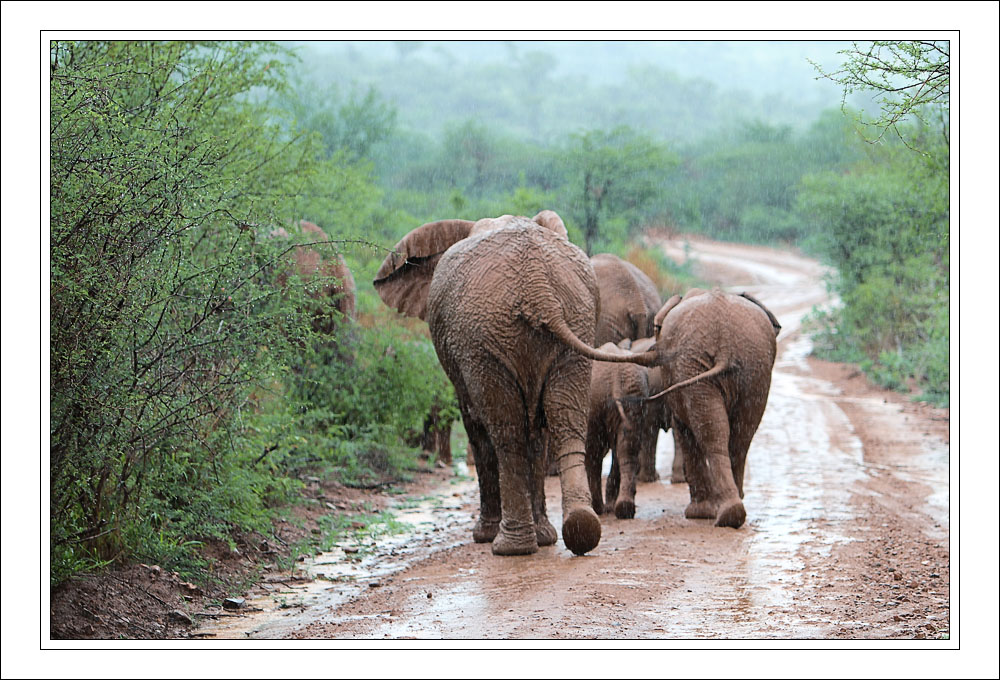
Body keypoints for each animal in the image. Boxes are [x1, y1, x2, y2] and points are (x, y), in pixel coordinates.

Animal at [376, 212, 656, 556]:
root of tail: (538, 287)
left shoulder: (467, 357)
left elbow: (477, 425)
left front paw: (485, 535)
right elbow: (537, 431)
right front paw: (544, 536)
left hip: (484, 341)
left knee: (505, 433)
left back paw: (510, 546)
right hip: (574, 322)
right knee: (564, 420)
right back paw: (578, 529)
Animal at [648, 286, 780, 524]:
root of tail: (725, 344)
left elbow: (683, 429)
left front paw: (698, 513)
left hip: (694, 364)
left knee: (711, 433)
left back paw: (708, 513)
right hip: (753, 367)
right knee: (740, 435)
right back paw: (732, 512)